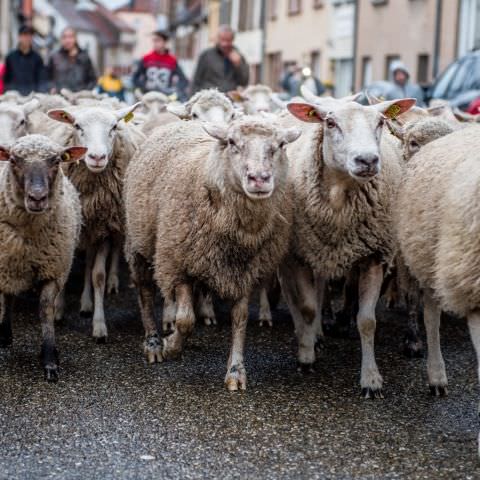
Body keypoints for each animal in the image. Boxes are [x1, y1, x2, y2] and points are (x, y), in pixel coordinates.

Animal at [0, 135, 86, 382]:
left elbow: (46, 310)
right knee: (7, 296)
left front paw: (49, 359)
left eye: (56, 161)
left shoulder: (54, 272)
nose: (37, 197)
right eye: (13, 160)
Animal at [47, 101, 144, 342]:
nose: (97, 157)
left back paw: (103, 289)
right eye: (77, 126)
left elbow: (97, 275)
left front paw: (99, 325)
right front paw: (58, 310)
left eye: (114, 127)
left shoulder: (104, 228)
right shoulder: (69, 226)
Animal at [124, 116, 300, 390]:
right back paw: (153, 342)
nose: (259, 178)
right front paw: (171, 345)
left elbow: (240, 319)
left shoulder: (245, 272)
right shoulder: (177, 263)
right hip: (140, 243)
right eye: (231, 142)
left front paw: (236, 370)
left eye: (281, 144)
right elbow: (185, 319)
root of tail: (179, 122)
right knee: (144, 292)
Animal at [280, 85, 414, 398]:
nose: (367, 160)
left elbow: (367, 321)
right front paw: (306, 355)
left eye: (380, 122)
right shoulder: (300, 254)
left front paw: (371, 379)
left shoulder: (374, 256)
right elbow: (307, 307)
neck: (340, 201)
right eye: (330, 123)